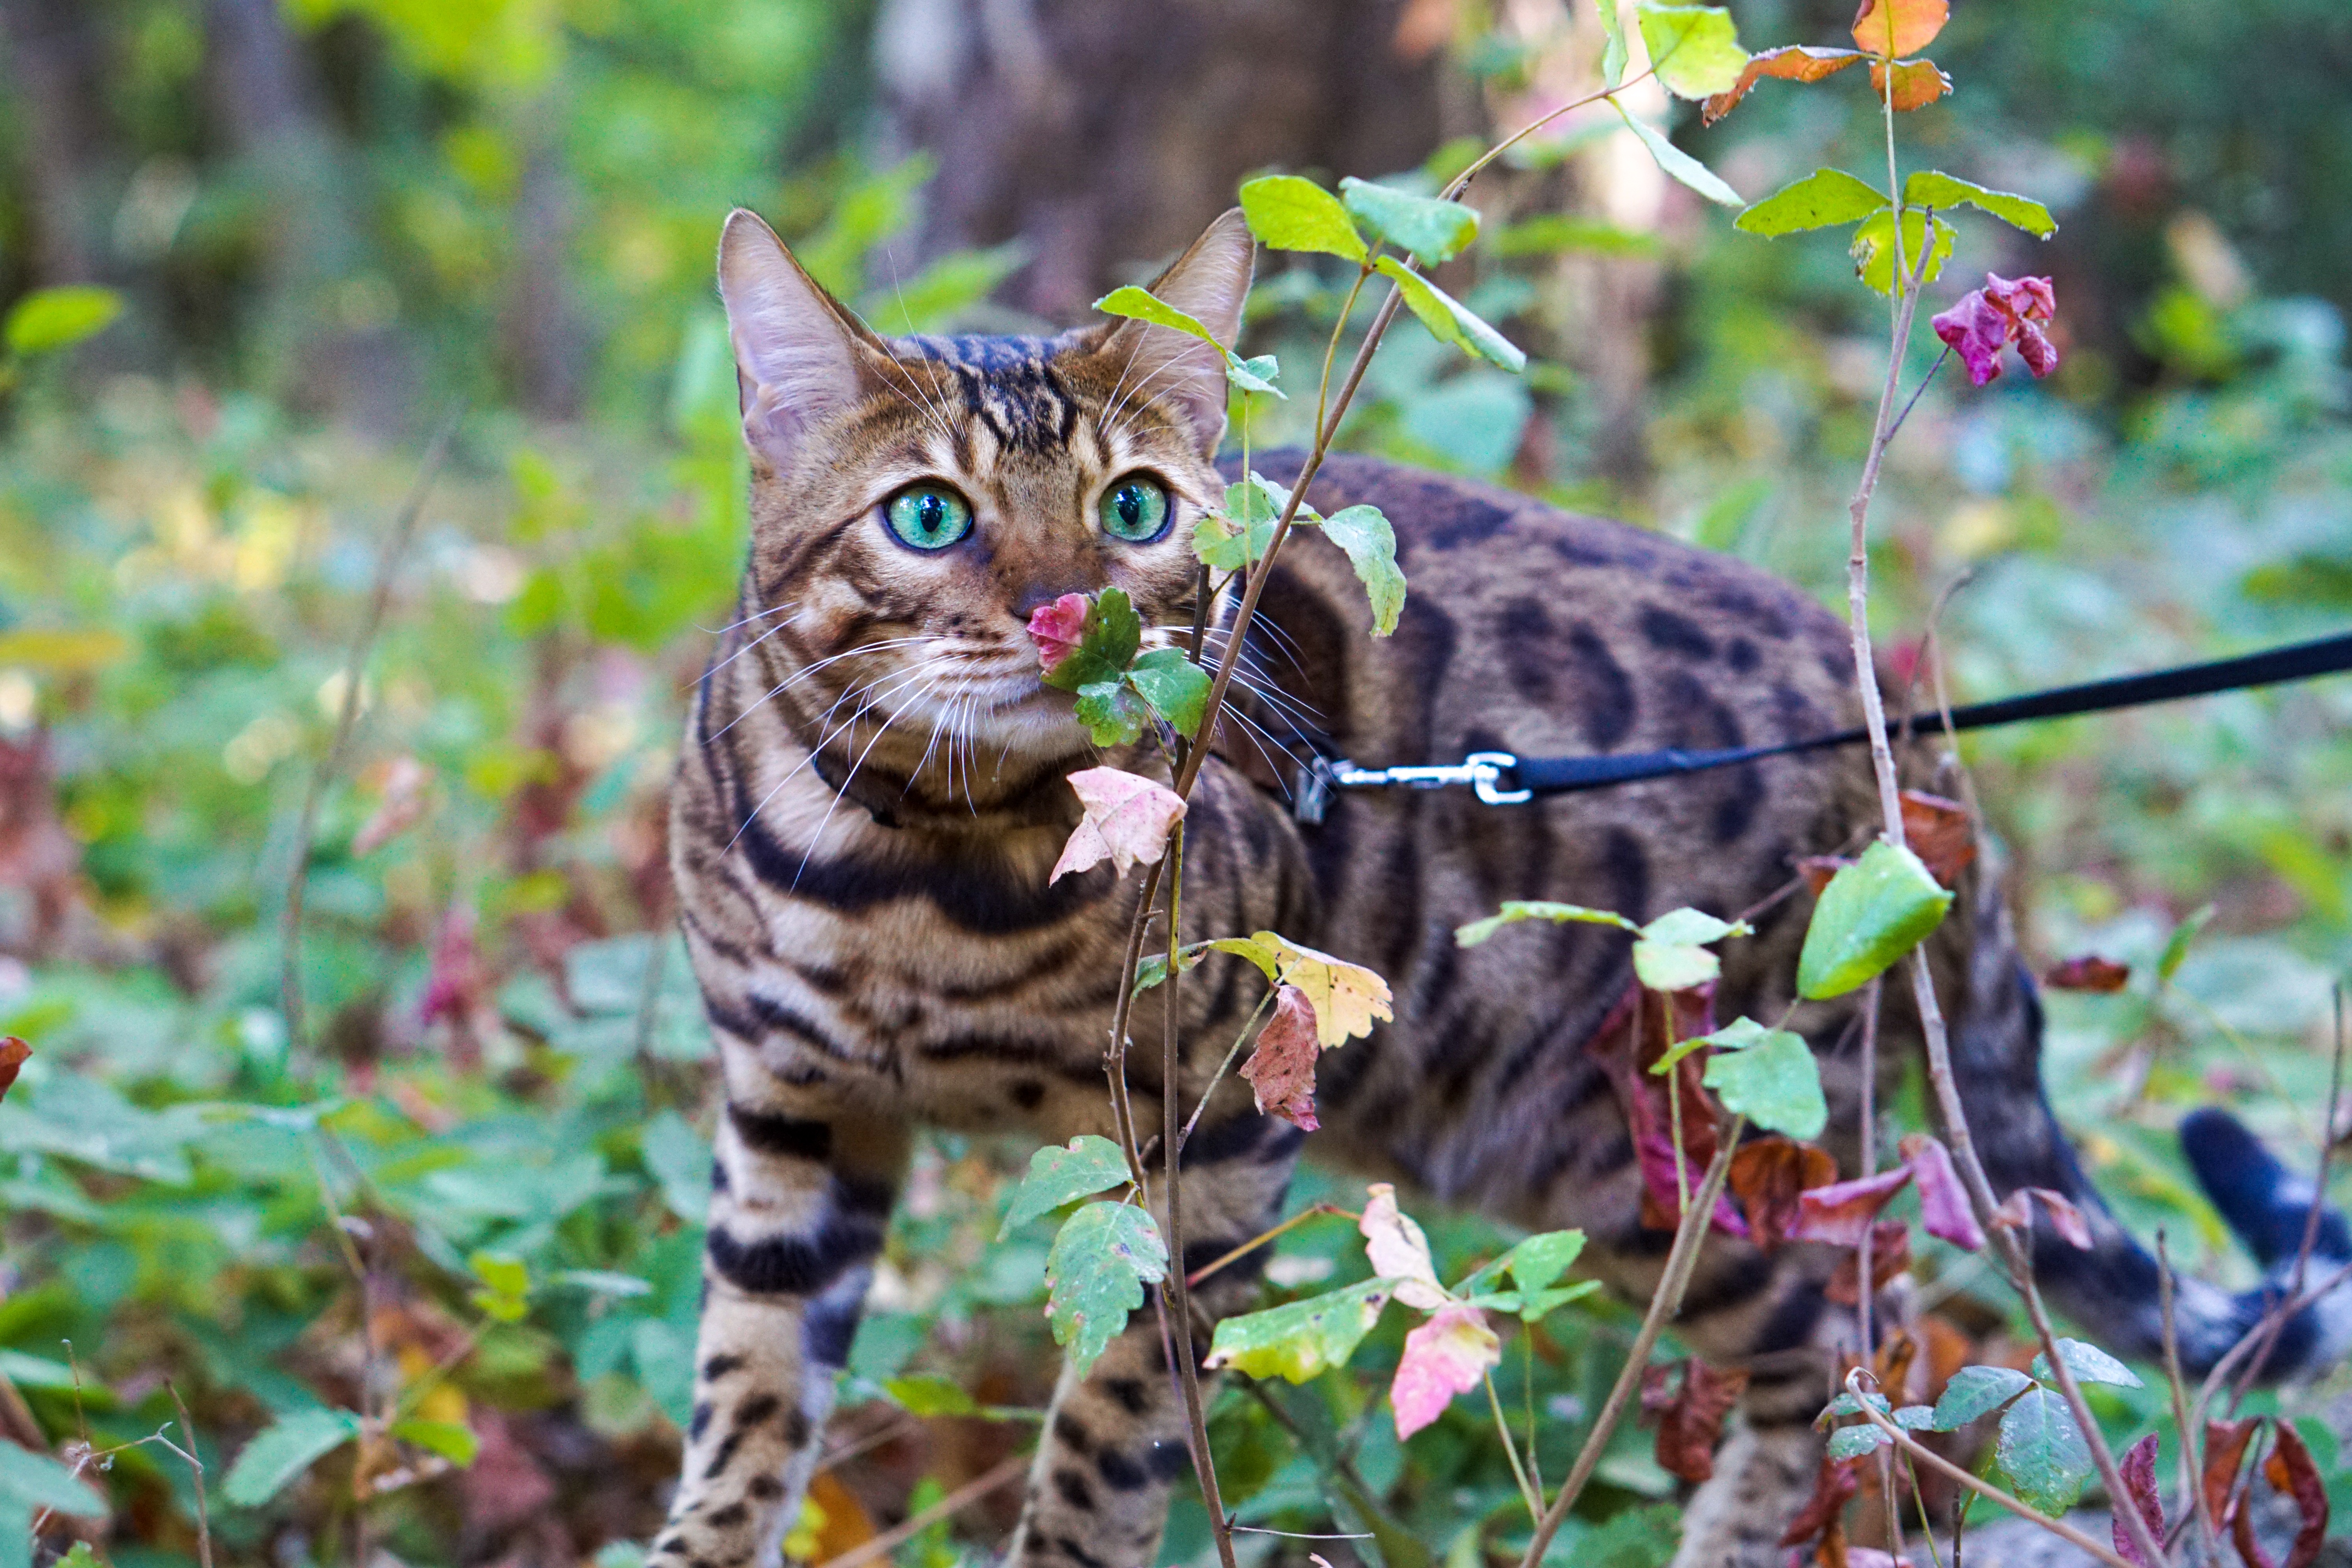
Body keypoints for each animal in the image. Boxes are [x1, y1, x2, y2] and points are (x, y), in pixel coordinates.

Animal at [649, 211, 2352, 1568]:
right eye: (929, 515)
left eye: (1133, 507)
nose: (1074, 614)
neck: (912, 872)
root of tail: (1918, 753)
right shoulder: (793, 1120)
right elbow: (745, 1406)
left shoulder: (1205, 1144)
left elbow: (1104, 1441)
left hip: (1676, 1147)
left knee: (1865, 1361)